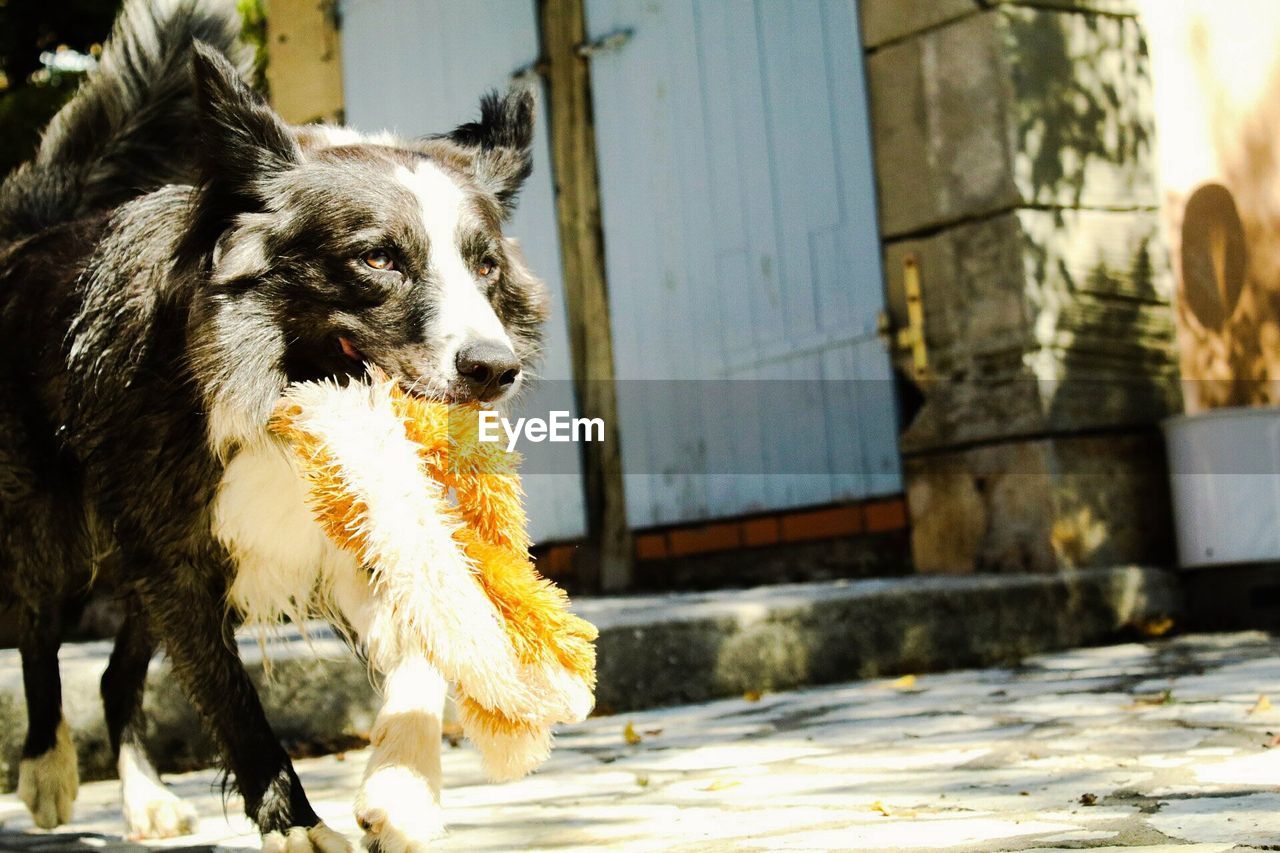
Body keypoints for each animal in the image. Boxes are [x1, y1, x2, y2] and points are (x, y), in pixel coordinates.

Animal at [0, 0, 545, 845]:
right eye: (377, 259)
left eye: (485, 265)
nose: (493, 368)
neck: (282, 387)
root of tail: (30, 240)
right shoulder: (176, 556)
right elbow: (233, 701)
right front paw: (295, 824)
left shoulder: (336, 531)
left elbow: (421, 636)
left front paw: (403, 788)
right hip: (54, 522)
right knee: (36, 623)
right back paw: (48, 769)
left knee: (119, 675)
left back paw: (145, 797)